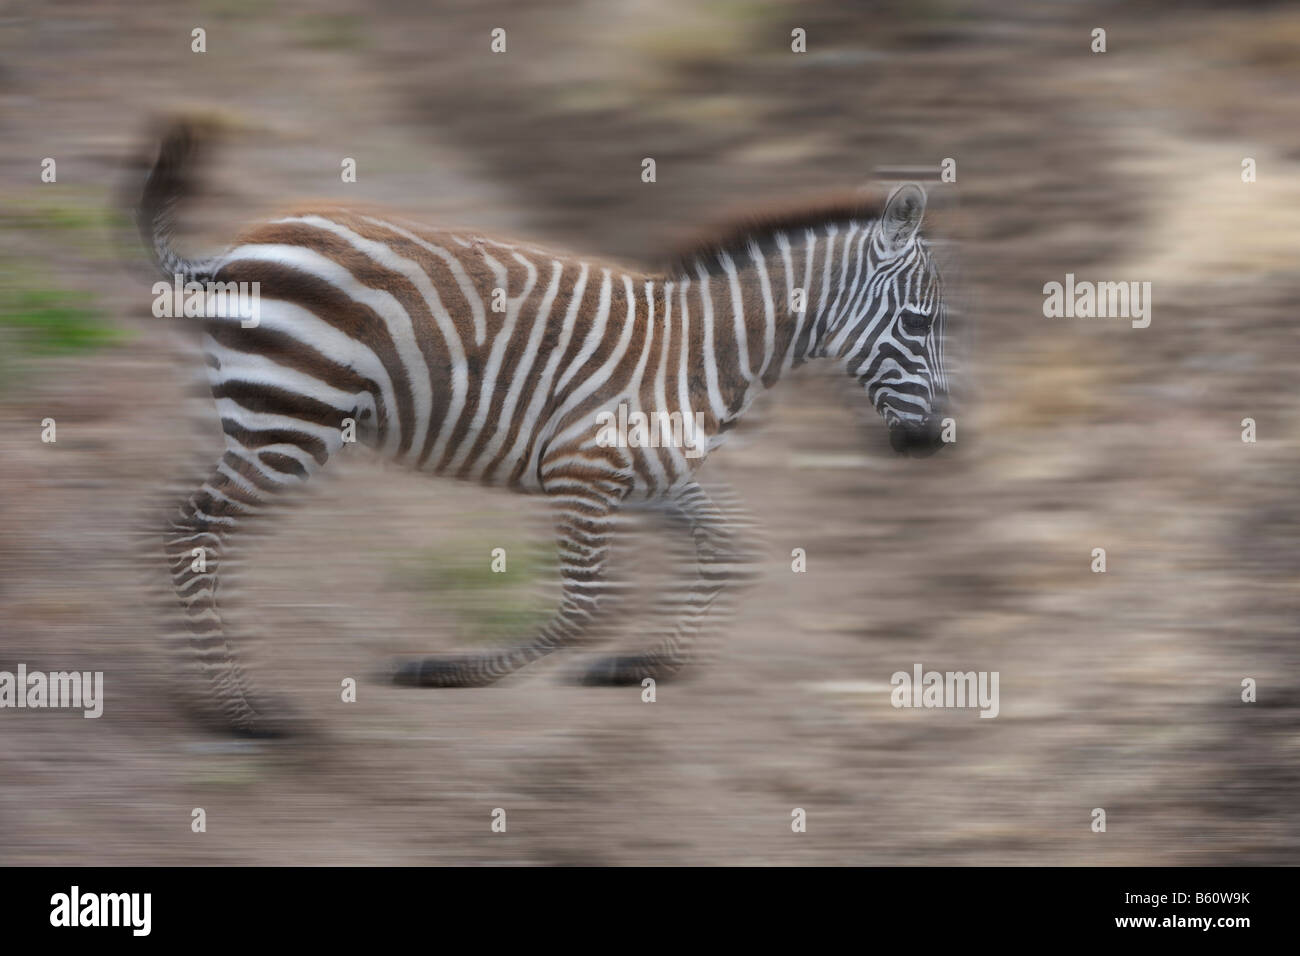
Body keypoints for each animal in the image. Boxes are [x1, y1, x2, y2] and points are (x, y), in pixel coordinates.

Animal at [139, 123, 956, 738]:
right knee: (187, 531)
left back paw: (204, 692)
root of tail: (239, 247)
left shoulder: (653, 481)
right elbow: (588, 610)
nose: (930, 444)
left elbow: (730, 555)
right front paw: (444, 673)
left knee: (176, 528)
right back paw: (238, 712)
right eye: (920, 324)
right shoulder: (581, 472)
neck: (702, 353)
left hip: (263, 421)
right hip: (288, 428)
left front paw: (643, 668)